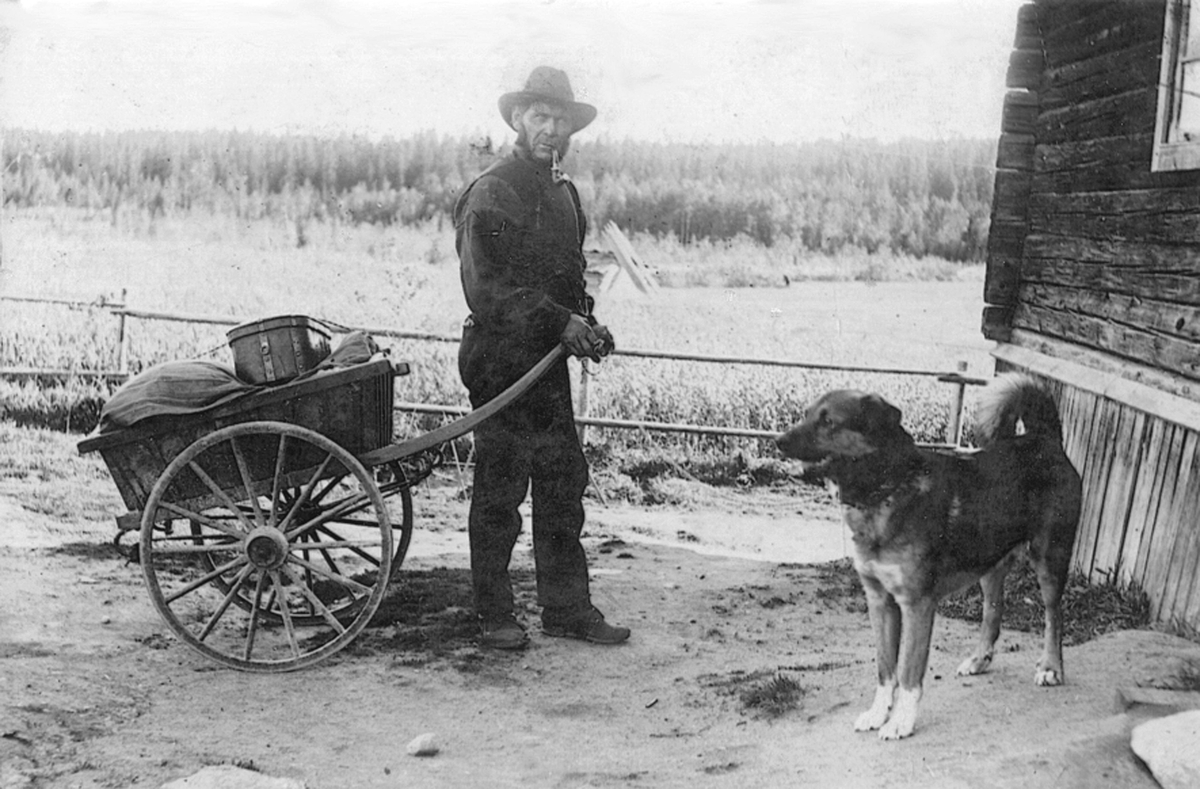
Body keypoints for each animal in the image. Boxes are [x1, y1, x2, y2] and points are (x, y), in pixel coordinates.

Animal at [772, 374, 1084, 738]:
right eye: (807, 415)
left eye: (828, 422)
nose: (778, 442)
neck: (884, 489)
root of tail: (1044, 440)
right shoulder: (879, 602)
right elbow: (885, 669)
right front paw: (878, 713)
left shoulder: (917, 605)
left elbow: (908, 671)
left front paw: (901, 722)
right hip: (989, 562)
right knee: (993, 612)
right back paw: (979, 660)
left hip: (1049, 559)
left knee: (1054, 615)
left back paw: (1050, 667)